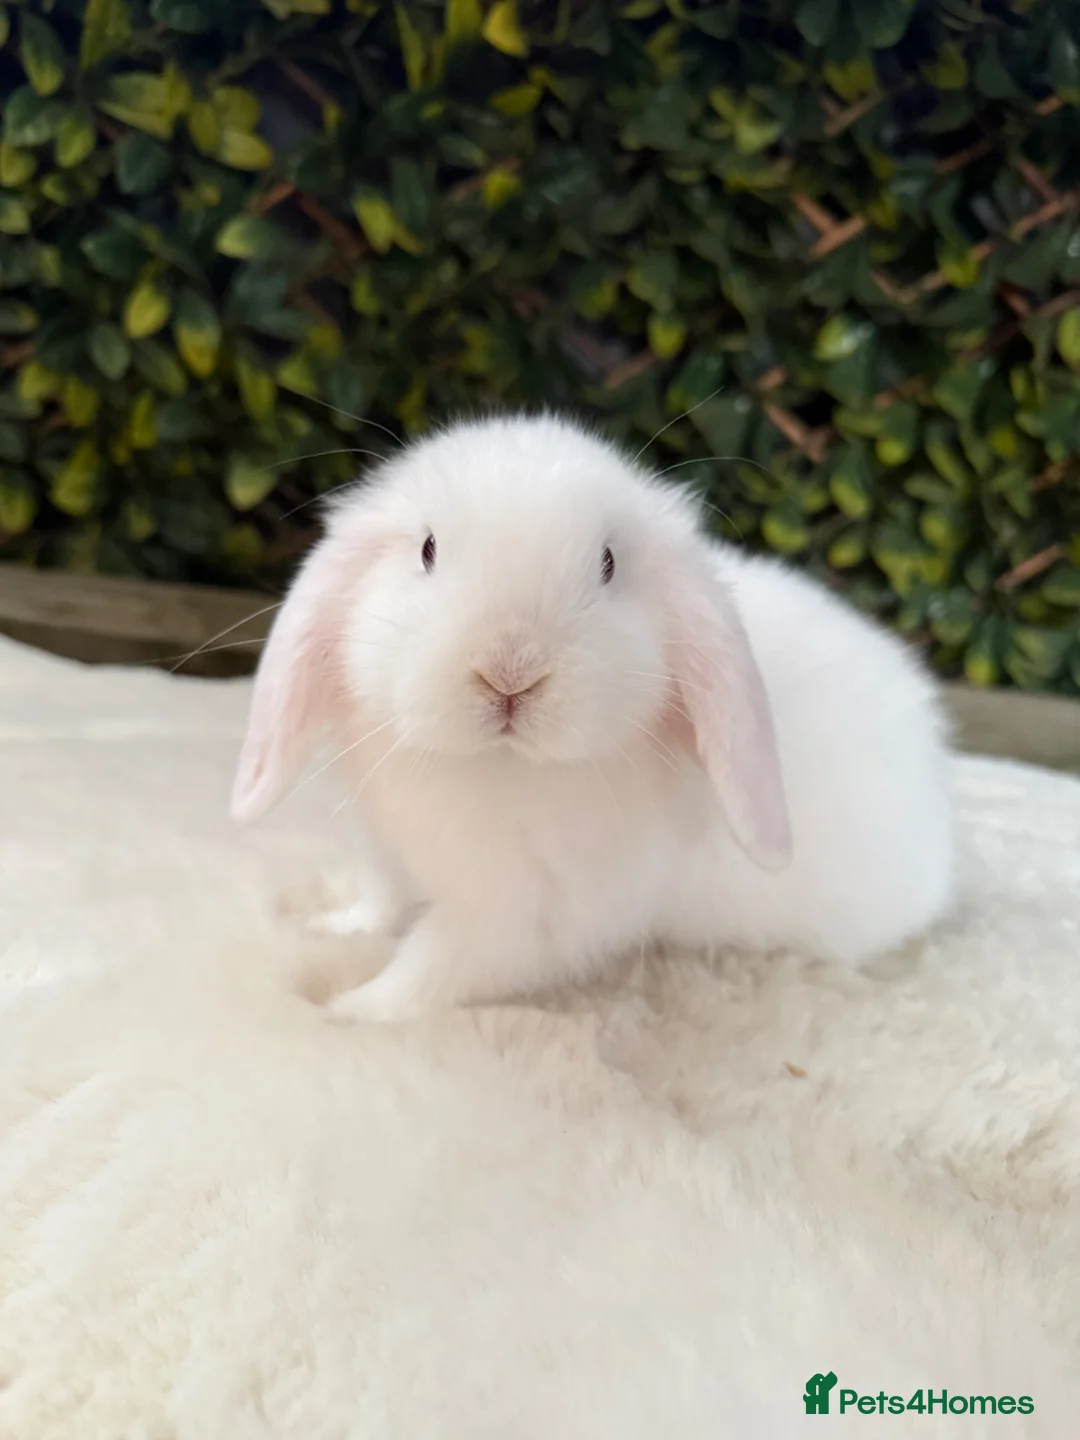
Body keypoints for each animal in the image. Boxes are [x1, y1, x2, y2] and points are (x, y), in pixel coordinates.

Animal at [231, 413, 956, 1023]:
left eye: (608, 564)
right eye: (428, 549)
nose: (510, 672)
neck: (496, 767)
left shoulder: (519, 921)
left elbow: (428, 974)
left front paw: (343, 1010)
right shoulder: (390, 853)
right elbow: (382, 901)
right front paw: (334, 927)